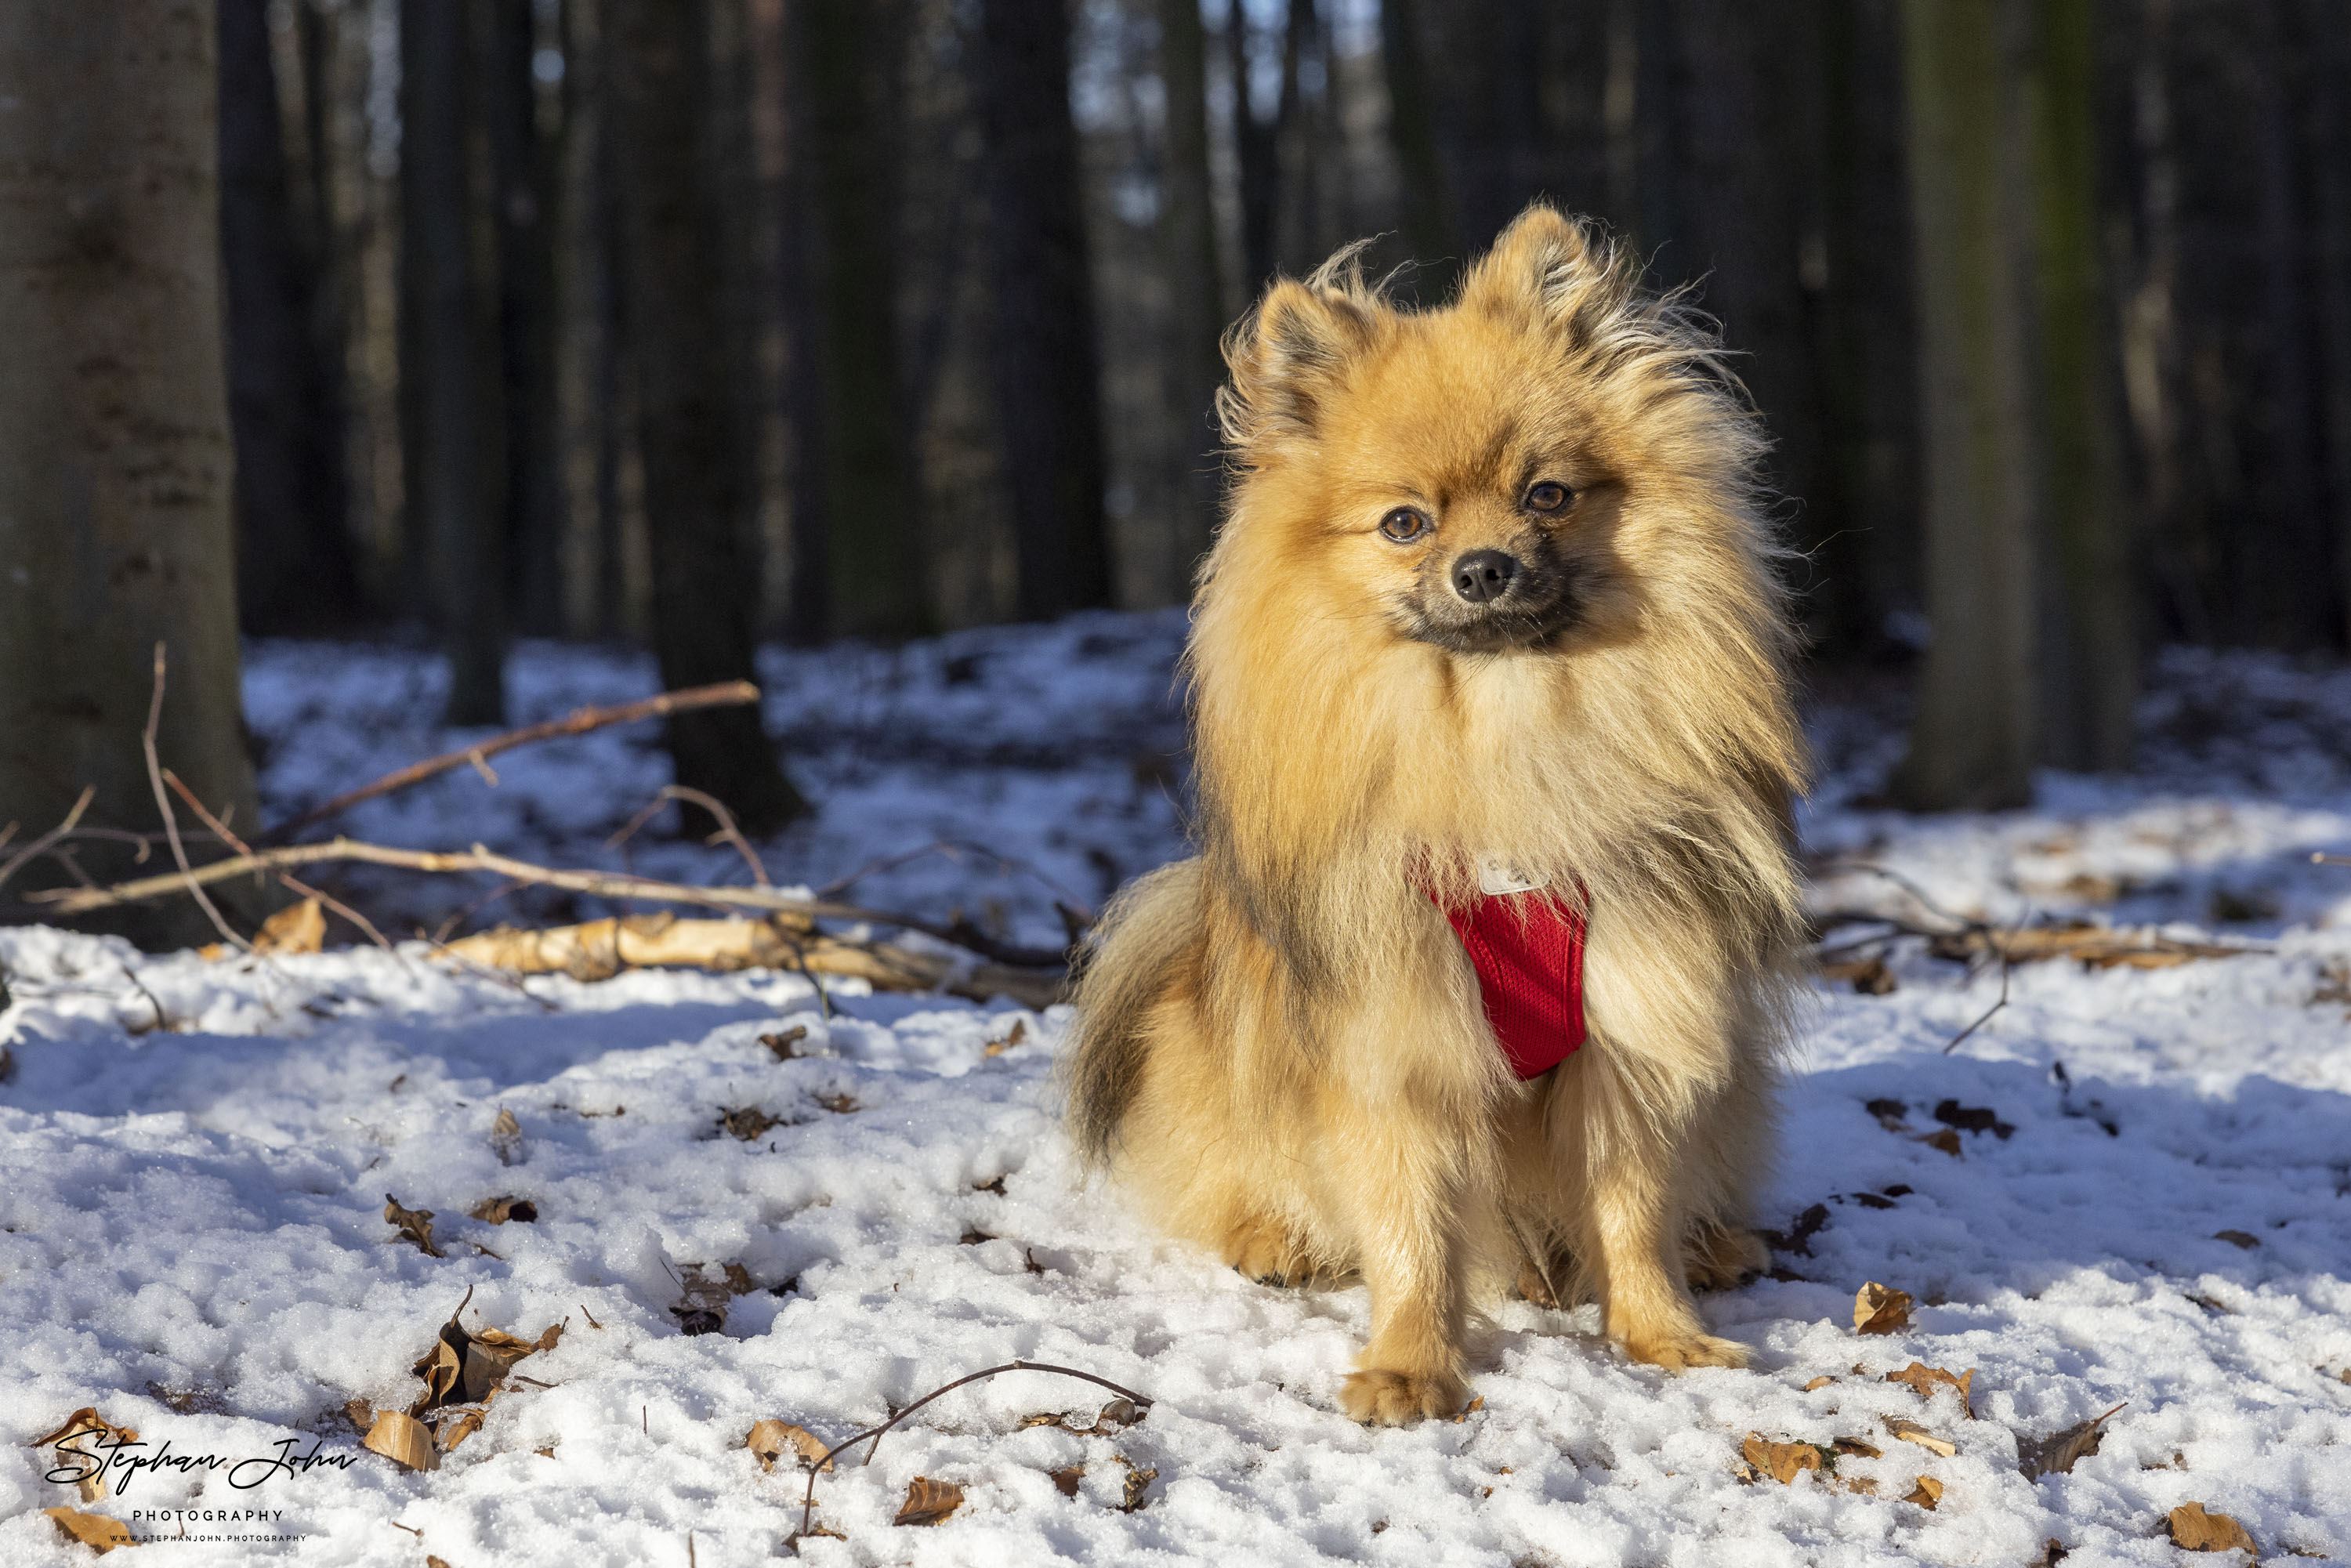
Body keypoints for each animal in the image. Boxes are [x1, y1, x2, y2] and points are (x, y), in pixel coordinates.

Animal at [1067, 205, 1796, 1420]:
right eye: (1405, 522)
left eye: (1547, 495)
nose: (1486, 566)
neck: (1500, 740)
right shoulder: (1396, 1030)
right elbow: (1407, 1219)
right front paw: (1412, 1362)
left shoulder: (1633, 1013)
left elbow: (1634, 1202)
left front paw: (1661, 1331)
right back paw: (1273, 1236)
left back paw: (1715, 1244)